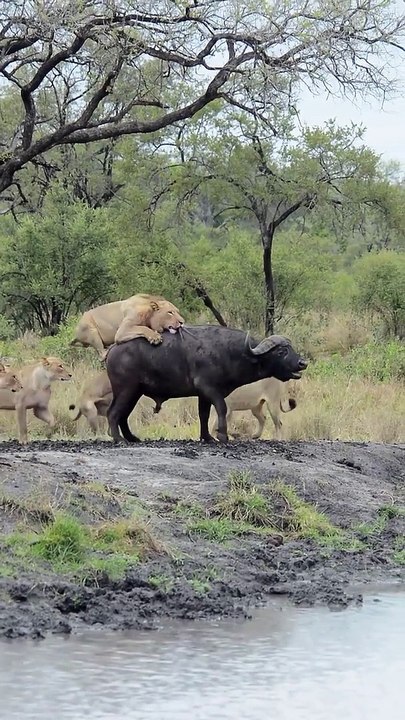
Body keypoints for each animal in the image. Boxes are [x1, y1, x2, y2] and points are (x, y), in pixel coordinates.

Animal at [106, 325, 308, 443]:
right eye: (281, 351)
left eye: (291, 349)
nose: (302, 363)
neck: (232, 352)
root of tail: (113, 349)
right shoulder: (211, 390)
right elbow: (221, 409)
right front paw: (222, 436)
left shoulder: (203, 395)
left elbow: (203, 415)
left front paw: (207, 437)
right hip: (126, 390)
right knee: (113, 413)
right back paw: (119, 439)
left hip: (134, 392)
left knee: (122, 415)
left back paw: (131, 438)